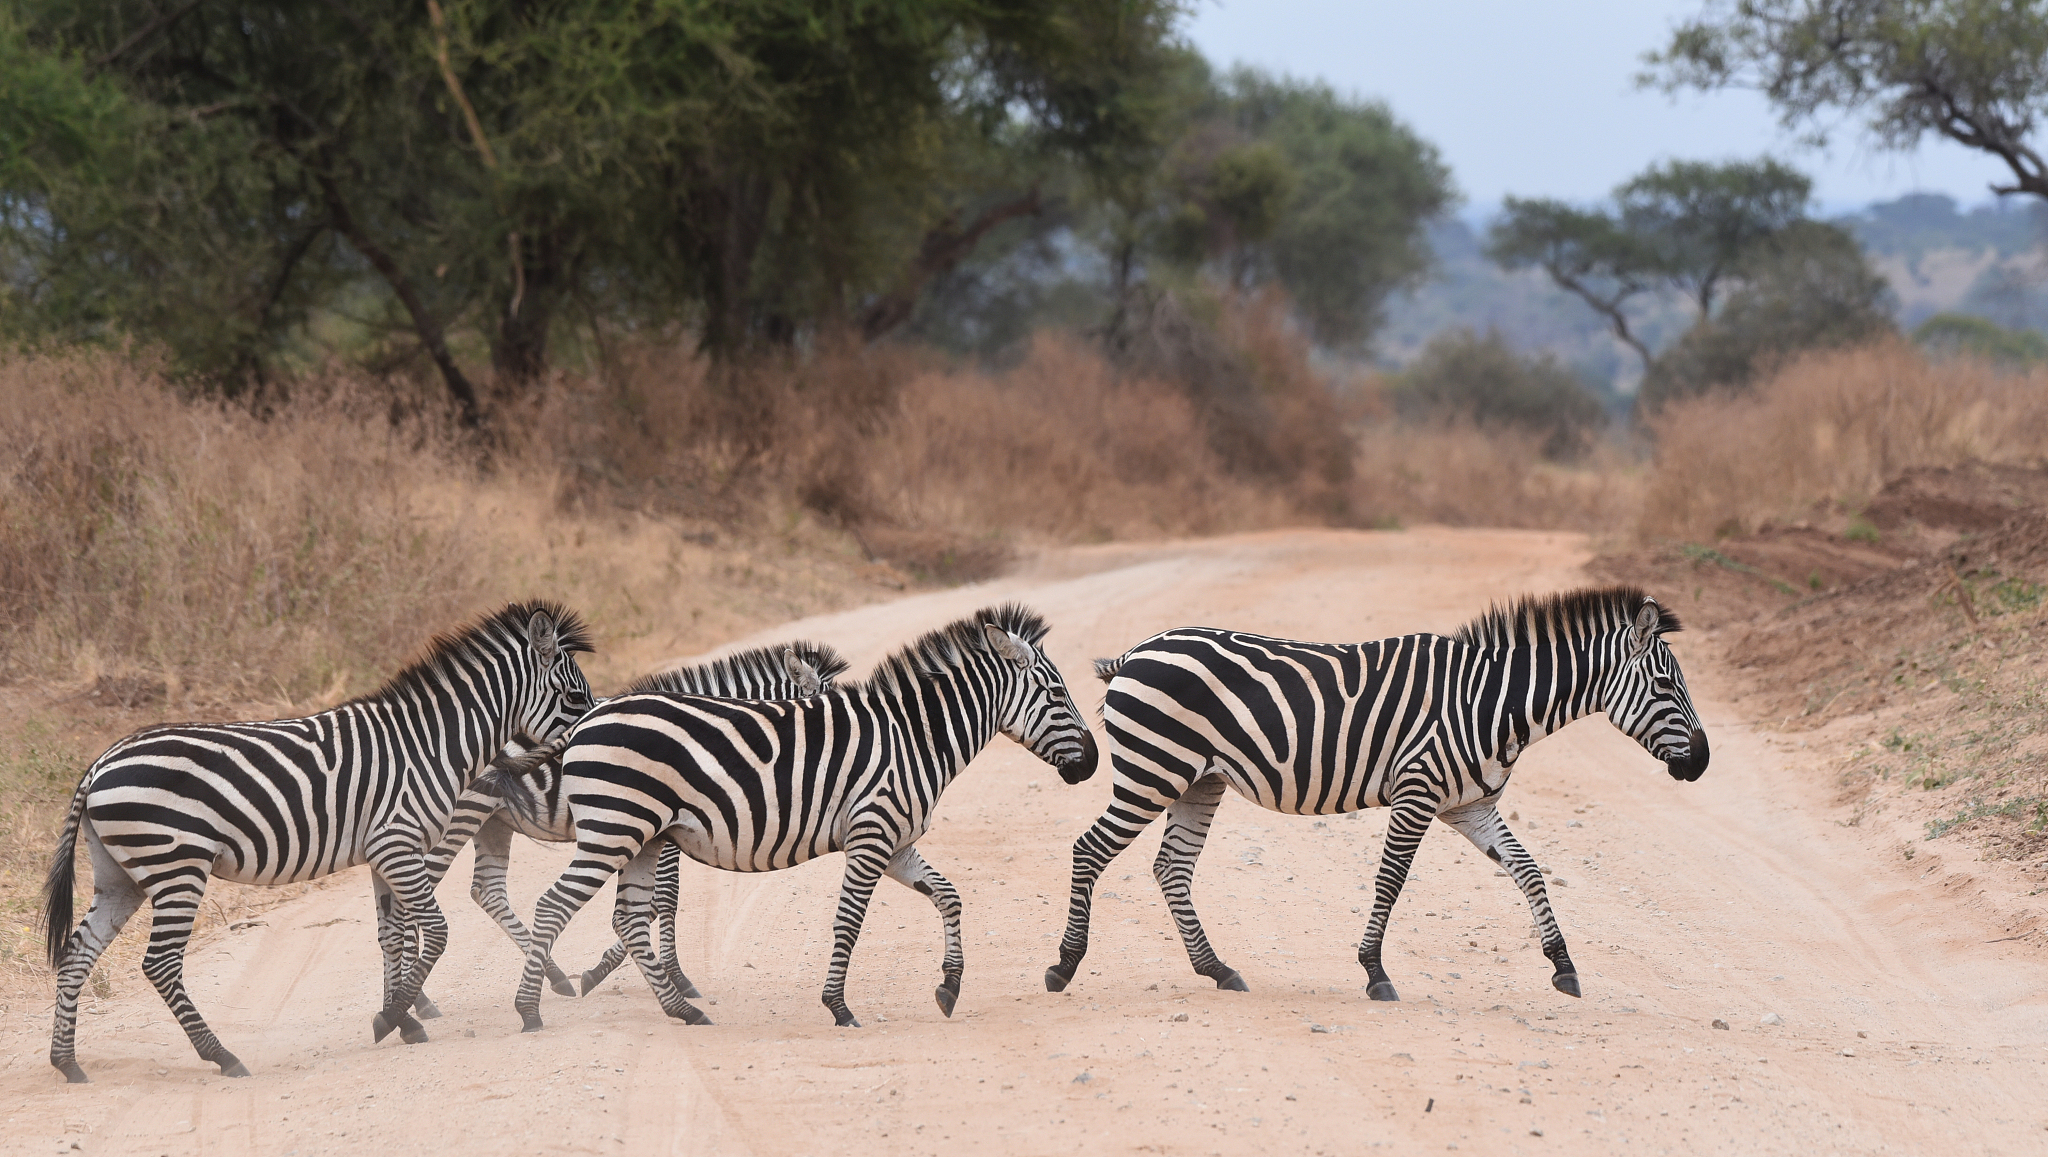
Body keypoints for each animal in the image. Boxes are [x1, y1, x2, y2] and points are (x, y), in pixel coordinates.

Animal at [41, 601, 595, 1083]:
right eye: (575, 699)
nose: (595, 743)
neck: (433, 744)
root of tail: (100, 762)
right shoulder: (397, 843)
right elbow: (436, 933)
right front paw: (392, 1017)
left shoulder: (383, 854)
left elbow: (392, 936)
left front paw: (402, 1020)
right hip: (176, 865)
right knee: (160, 963)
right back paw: (222, 1056)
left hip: (121, 877)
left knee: (77, 952)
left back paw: (68, 1064)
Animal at [419, 641, 850, 1001]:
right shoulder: (669, 827)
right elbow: (666, 898)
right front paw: (675, 978)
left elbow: (651, 903)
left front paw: (599, 971)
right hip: (460, 817)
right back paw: (419, 1003)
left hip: (494, 822)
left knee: (486, 890)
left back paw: (552, 977)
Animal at [481, 603, 1098, 1031]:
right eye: (1056, 693)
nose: (1092, 763)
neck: (912, 739)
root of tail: (586, 721)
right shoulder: (871, 836)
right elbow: (849, 922)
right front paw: (839, 1007)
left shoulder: (896, 841)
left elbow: (949, 895)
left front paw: (948, 986)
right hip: (614, 831)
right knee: (553, 906)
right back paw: (530, 1010)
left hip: (644, 836)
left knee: (629, 919)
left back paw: (682, 1010)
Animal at [1043, 587, 1708, 1003]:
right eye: (1664, 684)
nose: (1702, 763)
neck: (1490, 704)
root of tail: (1136, 651)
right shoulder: (1417, 793)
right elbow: (1391, 881)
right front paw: (1374, 973)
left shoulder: (1470, 806)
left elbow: (1528, 871)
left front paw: (1563, 966)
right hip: (1152, 771)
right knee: (1089, 851)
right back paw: (1064, 966)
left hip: (1197, 780)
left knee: (1171, 869)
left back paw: (1218, 970)